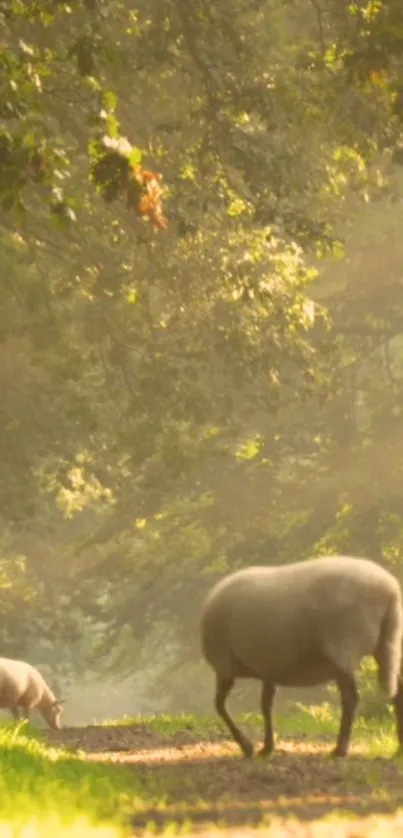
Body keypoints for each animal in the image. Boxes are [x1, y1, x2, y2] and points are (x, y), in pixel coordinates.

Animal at [201, 556, 403, 760]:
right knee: (397, 694)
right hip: (387, 643)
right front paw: (268, 747)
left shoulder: (224, 665)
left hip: (343, 647)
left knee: (351, 699)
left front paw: (247, 746)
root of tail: (389, 590)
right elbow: (266, 705)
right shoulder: (270, 668)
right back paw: (398, 750)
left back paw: (340, 749)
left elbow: (220, 706)